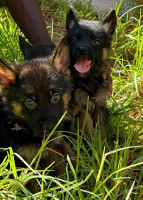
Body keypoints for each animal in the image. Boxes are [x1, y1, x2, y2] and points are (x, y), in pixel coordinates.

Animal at [0, 41, 74, 192]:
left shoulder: (51, 148)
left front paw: (66, 190)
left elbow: (61, 172)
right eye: (30, 102)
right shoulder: (21, 163)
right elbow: (32, 187)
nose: (50, 128)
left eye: (55, 97)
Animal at [63, 7, 116, 139]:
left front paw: (102, 144)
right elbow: (89, 126)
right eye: (74, 39)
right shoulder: (80, 107)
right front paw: (93, 143)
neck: (87, 79)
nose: (82, 49)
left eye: (96, 41)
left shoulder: (100, 105)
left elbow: (102, 128)